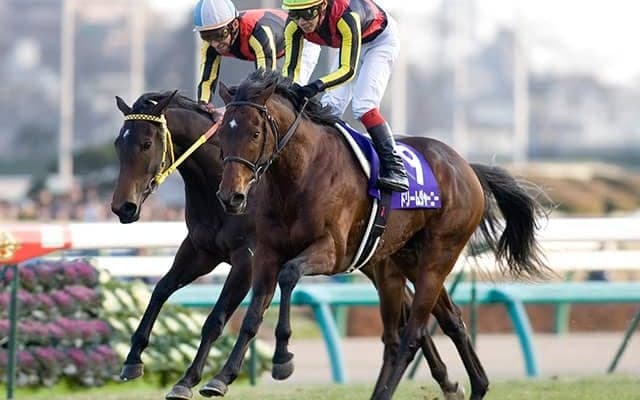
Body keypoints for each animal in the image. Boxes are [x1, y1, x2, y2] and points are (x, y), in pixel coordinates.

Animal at [110, 90, 455, 400]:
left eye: (146, 143)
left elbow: (215, 319)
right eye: (118, 144)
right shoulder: (200, 251)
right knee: (417, 311)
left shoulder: (247, 258)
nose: (122, 207)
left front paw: (190, 380)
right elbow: (160, 290)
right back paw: (448, 382)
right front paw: (132, 360)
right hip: (375, 259)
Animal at [209, 69, 550, 400]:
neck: (300, 175)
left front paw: (282, 359)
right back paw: (477, 385)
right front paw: (221, 378)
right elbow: (253, 315)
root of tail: (466, 167)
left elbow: (290, 274)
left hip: (439, 256)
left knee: (412, 334)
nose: (230, 197)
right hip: (402, 261)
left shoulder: (332, 251)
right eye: (223, 133)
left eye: (255, 133)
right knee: (442, 322)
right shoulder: (268, 253)